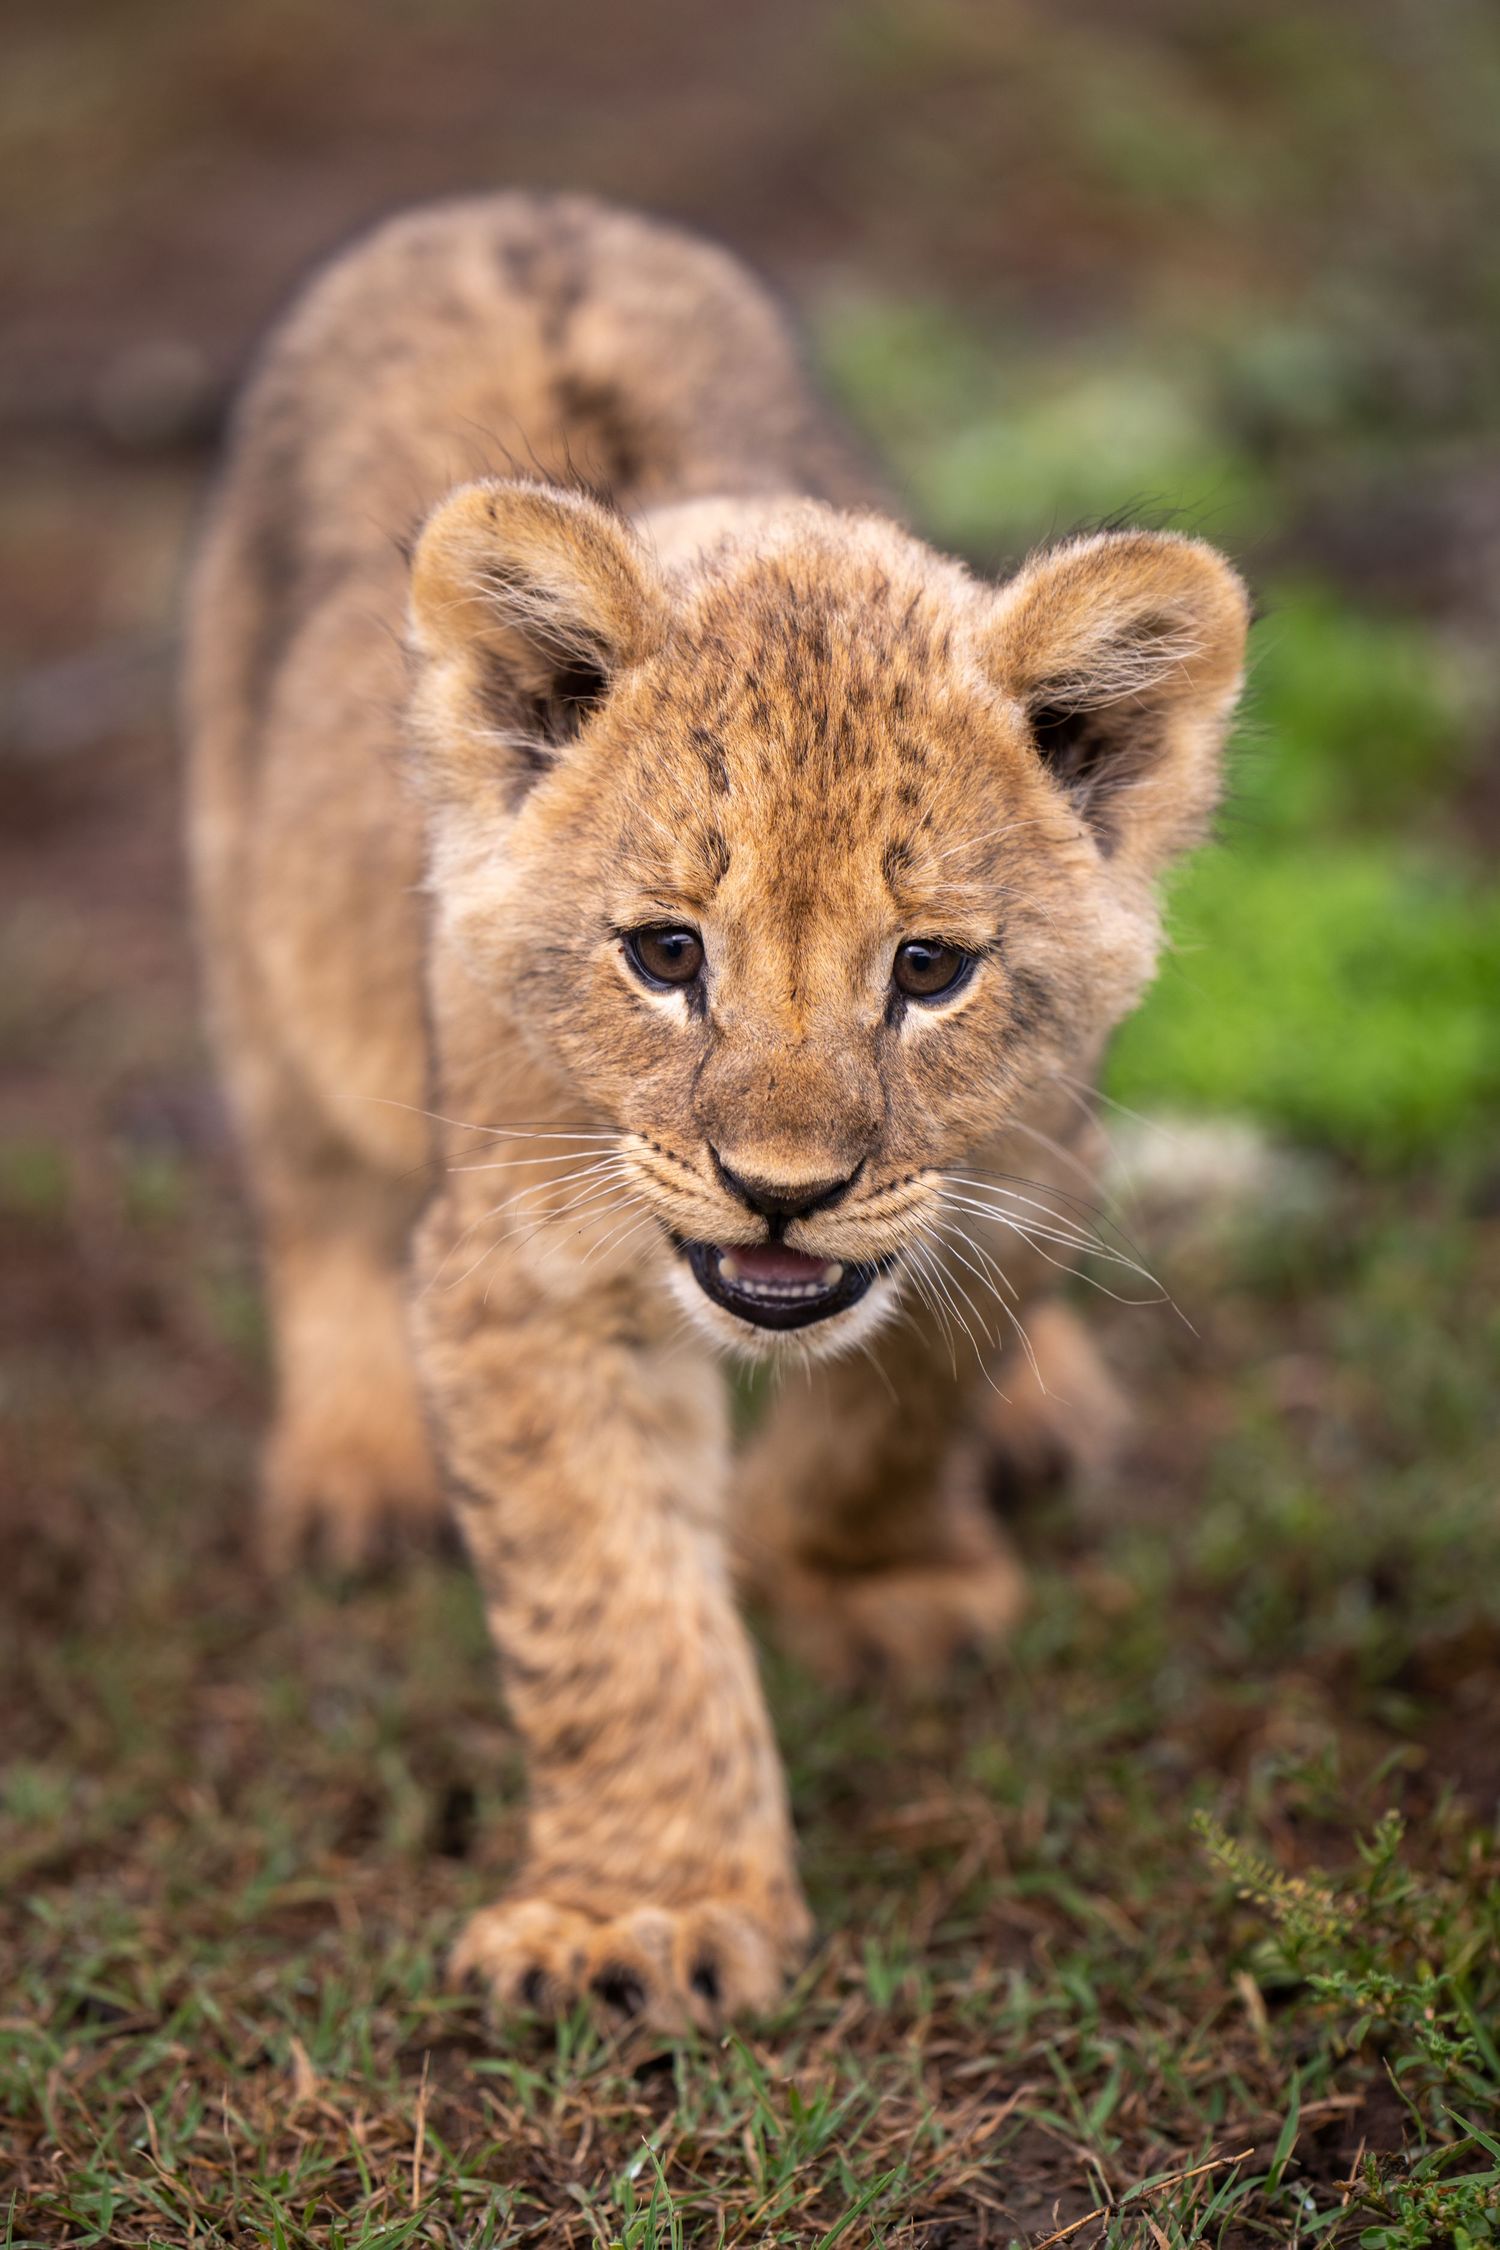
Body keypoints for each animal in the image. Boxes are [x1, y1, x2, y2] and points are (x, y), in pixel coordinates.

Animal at [184, 191, 1248, 2031]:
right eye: (666, 954)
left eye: (929, 970)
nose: (783, 1190)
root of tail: (517, 206)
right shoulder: (525, 1271)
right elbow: (608, 1605)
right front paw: (646, 1908)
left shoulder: (1027, 1176)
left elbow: (896, 1407)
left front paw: (865, 1577)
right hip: (256, 921)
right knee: (314, 1200)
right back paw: (357, 1464)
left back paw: (1047, 1414)